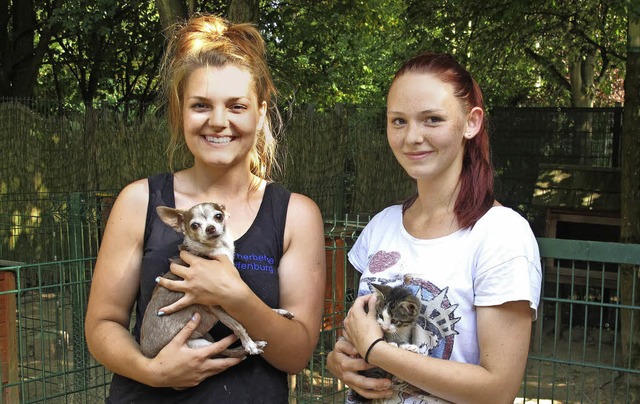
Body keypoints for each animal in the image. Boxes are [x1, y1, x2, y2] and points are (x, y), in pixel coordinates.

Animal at [141, 204, 292, 358]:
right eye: (194, 225)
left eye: (218, 216)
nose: (210, 228)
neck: (218, 249)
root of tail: (148, 354)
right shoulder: (215, 305)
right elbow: (237, 324)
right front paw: (249, 344)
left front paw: (276, 311)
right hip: (197, 345)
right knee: (223, 350)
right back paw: (250, 346)